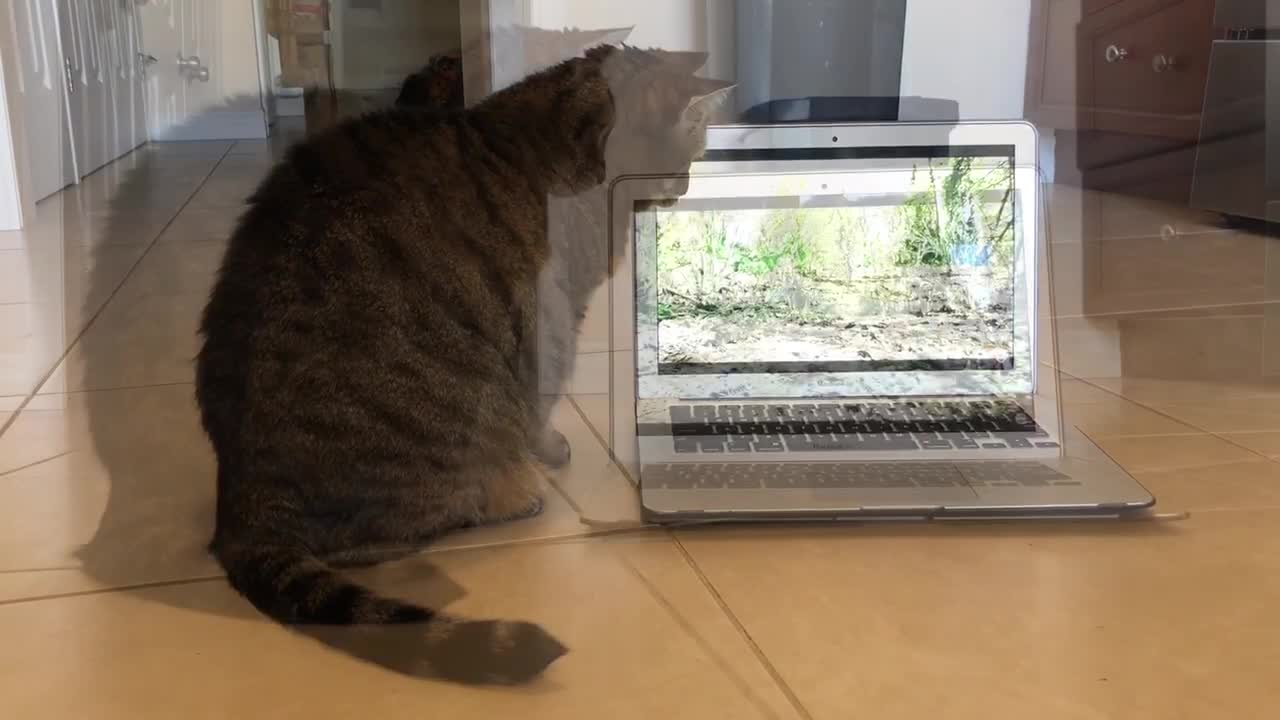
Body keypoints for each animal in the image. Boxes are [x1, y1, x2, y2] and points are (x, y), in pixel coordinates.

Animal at [190, 46, 732, 681]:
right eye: (690, 150)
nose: (688, 185)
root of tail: (243, 505)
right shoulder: (555, 317)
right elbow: (542, 404)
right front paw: (548, 449)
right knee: (381, 538)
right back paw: (512, 495)